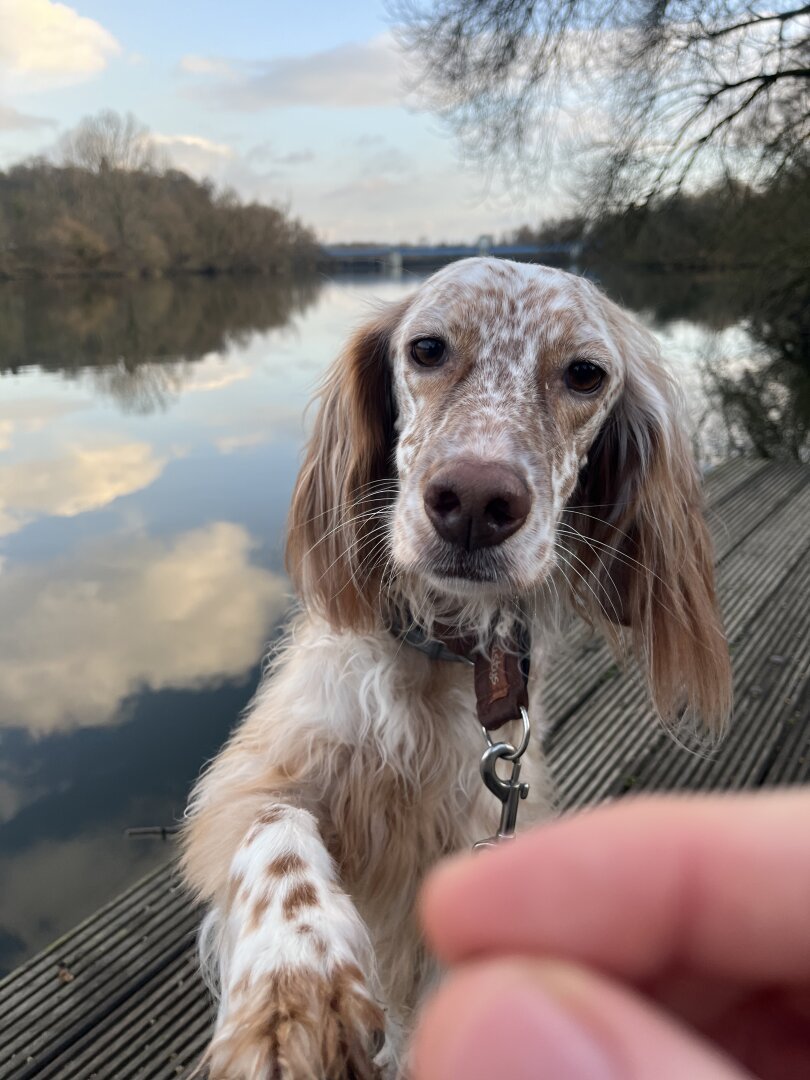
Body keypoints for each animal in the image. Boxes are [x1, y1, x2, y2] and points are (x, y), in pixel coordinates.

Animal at [183, 257, 734, 1075]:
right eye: (428, 349)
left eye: (585, 374)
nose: (474, 500)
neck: (438, 654)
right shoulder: (257, 772)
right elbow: (274, 834)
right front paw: (293, 992)